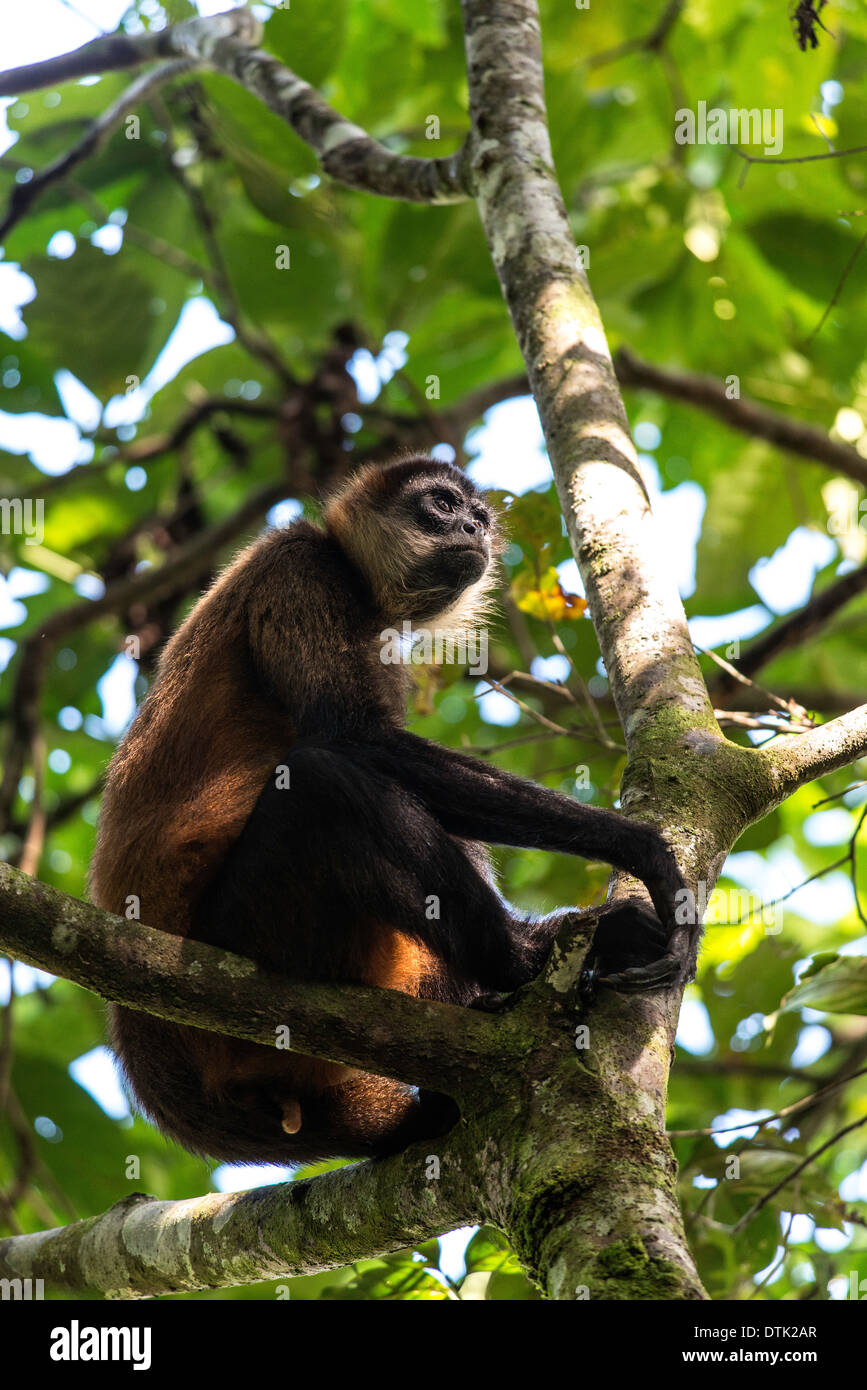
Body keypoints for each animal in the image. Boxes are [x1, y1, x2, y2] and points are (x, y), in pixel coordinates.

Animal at [89, 456, 689, 1166]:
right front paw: (639, 847)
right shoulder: (299, 566)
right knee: (327, 782)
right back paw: (529, 956)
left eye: (479, 517)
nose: (473, 531)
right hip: (247, 937)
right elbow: (355, 739)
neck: (351, 577)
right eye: (442, 505)